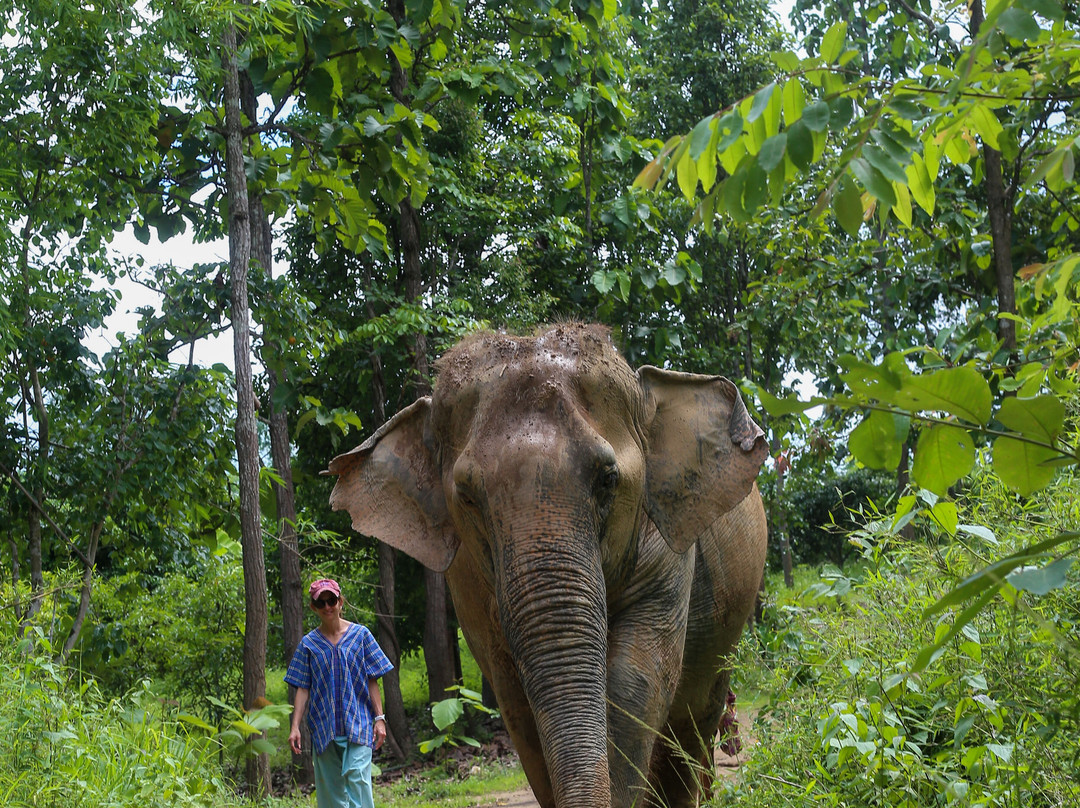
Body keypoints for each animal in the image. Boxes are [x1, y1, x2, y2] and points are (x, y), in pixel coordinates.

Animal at [327, 323, 768, 808]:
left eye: (608, 480)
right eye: (468, 497)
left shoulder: (665, 552)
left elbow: (634, 683)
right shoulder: (470, 586)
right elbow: (518, 704)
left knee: (692, 722)